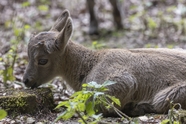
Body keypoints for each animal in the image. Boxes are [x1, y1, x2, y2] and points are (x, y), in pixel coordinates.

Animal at [23, 9, 186, 116]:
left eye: (42, 60)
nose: (26, 80)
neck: (89, 64)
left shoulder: (121, 81)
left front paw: (131, 107)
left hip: (166, 96)